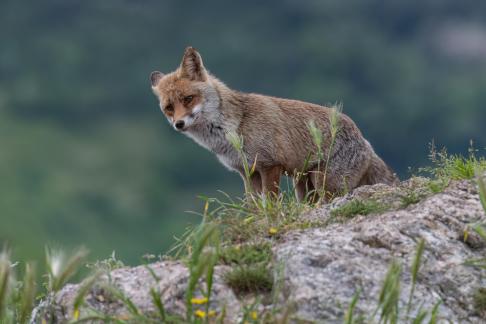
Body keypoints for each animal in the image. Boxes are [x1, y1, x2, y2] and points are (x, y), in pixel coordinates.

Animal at [151, 46, 398, 201]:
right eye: (169, 108)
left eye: (188, 99)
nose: (179, 124)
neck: (235, 127)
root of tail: (365, 141)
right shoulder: (247, 172)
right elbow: (254, 206)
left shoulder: (270, 165)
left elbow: (271, 203)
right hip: (303, 187)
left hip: (325, 184)